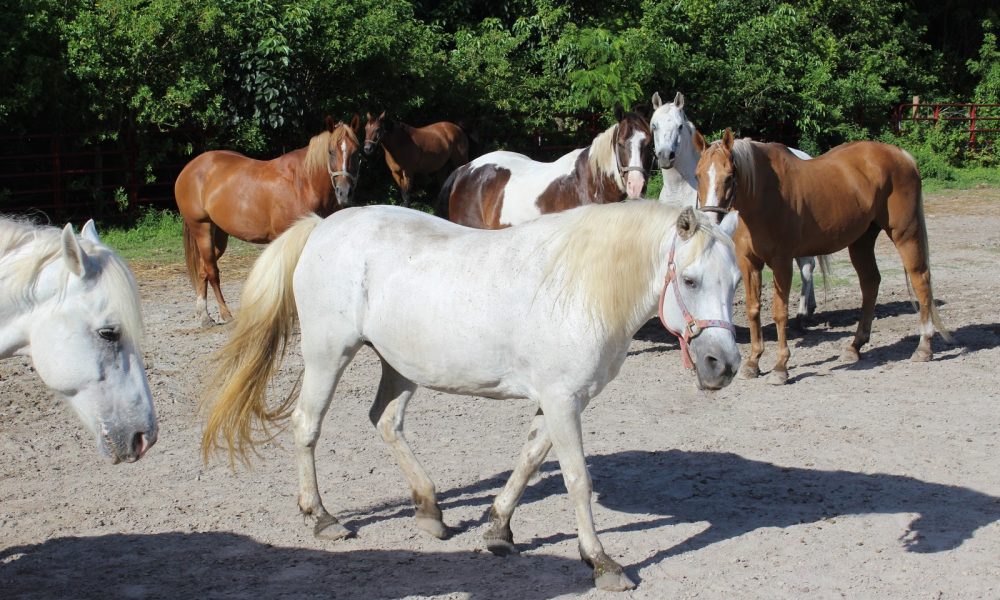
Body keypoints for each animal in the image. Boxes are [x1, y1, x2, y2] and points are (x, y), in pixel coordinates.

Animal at [175, 116, 363, 326]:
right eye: (330, 151)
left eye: (357, 152)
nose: (344, 192)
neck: (303, 183)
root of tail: (189, 168)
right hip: (202, 228)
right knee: (212, 271)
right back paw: (224, 314)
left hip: (219, 235)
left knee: (203, 269)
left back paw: (204, 314)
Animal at [201, 201, 742, 591]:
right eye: (690, 280)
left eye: (736, 281)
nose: (724, 365)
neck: (578, 287)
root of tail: (322, 227)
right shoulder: (563, 400)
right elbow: (576, 480)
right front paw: (601, 562)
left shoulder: (559, 402)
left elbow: (529, 459)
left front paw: (498, 530)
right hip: (327, 354)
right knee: (307, 425)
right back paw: (321, 518)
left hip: (400, 365)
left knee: (385, 421)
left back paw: (429, 511)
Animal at [650, 90, 822, 318]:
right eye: (654, 125)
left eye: (679, 126)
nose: (665, 156)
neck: (680, 189)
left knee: (807, 266)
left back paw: (803, 311)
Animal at [695, 128, 951, 385]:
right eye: (698, 176)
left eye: (729, 176)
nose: (710, 220)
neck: (764, 196)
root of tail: (902, 156)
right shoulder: (749, 263)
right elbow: (753, 309)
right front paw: (753, 363)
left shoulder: (782, 262)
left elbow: (780, 313)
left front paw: (780, 367)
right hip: (862, 241)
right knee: (870, 283)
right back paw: (855, 346)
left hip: (905, 234)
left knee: (920, 280)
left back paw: (924, 347)